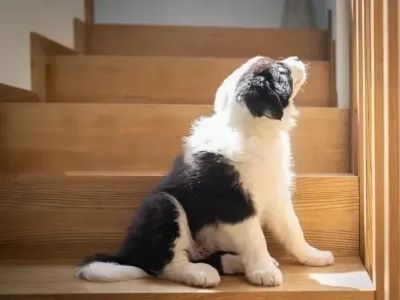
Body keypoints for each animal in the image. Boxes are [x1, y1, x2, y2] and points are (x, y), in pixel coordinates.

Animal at [77, 56, 334, 288]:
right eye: (280, 68)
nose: (297, 59)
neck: (252, 130)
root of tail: (128, 253)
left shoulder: (276, 194)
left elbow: (293, 229)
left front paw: (314, 256)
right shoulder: (235, 202)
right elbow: (256, 238)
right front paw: (264, 272)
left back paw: (238, 263)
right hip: (163, 206)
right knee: (164, 264)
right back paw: (200, 274)